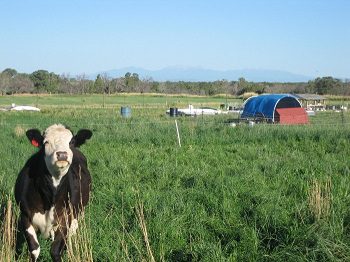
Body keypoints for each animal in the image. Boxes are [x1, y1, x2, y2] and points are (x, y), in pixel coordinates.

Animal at [14, 124, 92, 260]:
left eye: (71, 142)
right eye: (46, 142)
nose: (62, 155)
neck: (52, 194)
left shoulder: (66, 218)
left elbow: (55, 250)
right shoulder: (25, 215)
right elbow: (34, 249)